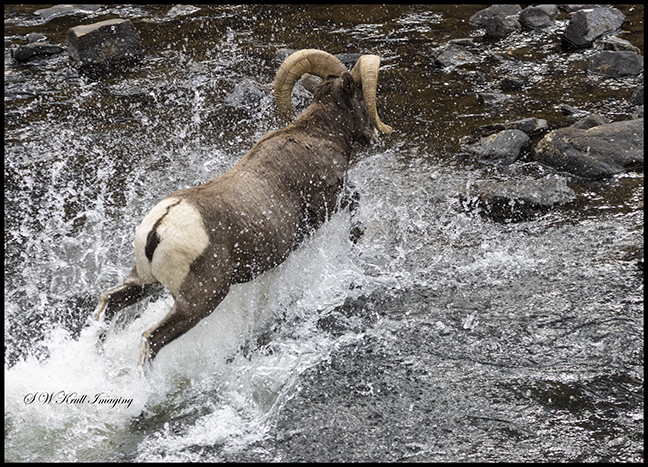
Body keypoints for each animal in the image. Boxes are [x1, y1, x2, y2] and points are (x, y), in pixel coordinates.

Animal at [95, 49, 392, 366]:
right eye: (360, 92)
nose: (374, 135)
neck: (318, 135)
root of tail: (158, 230)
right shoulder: (329, 202)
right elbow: (356, 204)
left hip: (143, 281)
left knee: (109, 304)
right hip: (198, 302)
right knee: (151, 339)